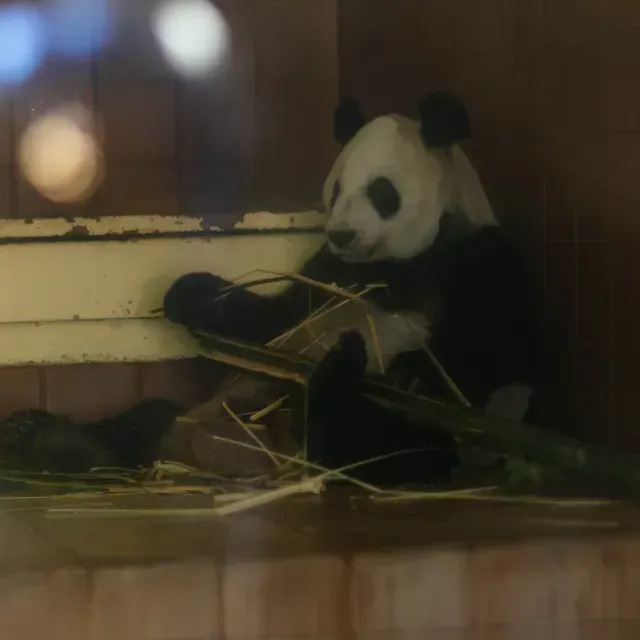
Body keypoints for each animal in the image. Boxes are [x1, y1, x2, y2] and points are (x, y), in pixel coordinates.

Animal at [162, 91, 540, 487]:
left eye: (382, 192)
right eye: (337, 189)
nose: (341, 234)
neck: (389, 264)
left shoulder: (477, 257)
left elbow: (498, 351)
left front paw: (411, 371)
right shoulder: (331, 272)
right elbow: (273, 321)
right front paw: (191, 296)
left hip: (439, 437)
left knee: (376, 439)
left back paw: (336, 381)